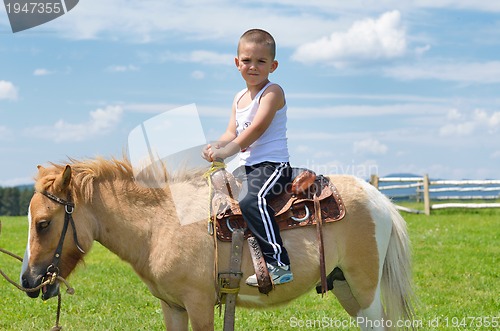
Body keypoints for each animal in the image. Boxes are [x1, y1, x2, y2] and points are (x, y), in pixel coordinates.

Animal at [20, 158, 414, 330]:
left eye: (43, 224)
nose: (28, 281)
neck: (160, 223)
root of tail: (379, 198)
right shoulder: (173, 307)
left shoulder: (200, 304)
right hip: (345, 287)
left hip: (365, 290)